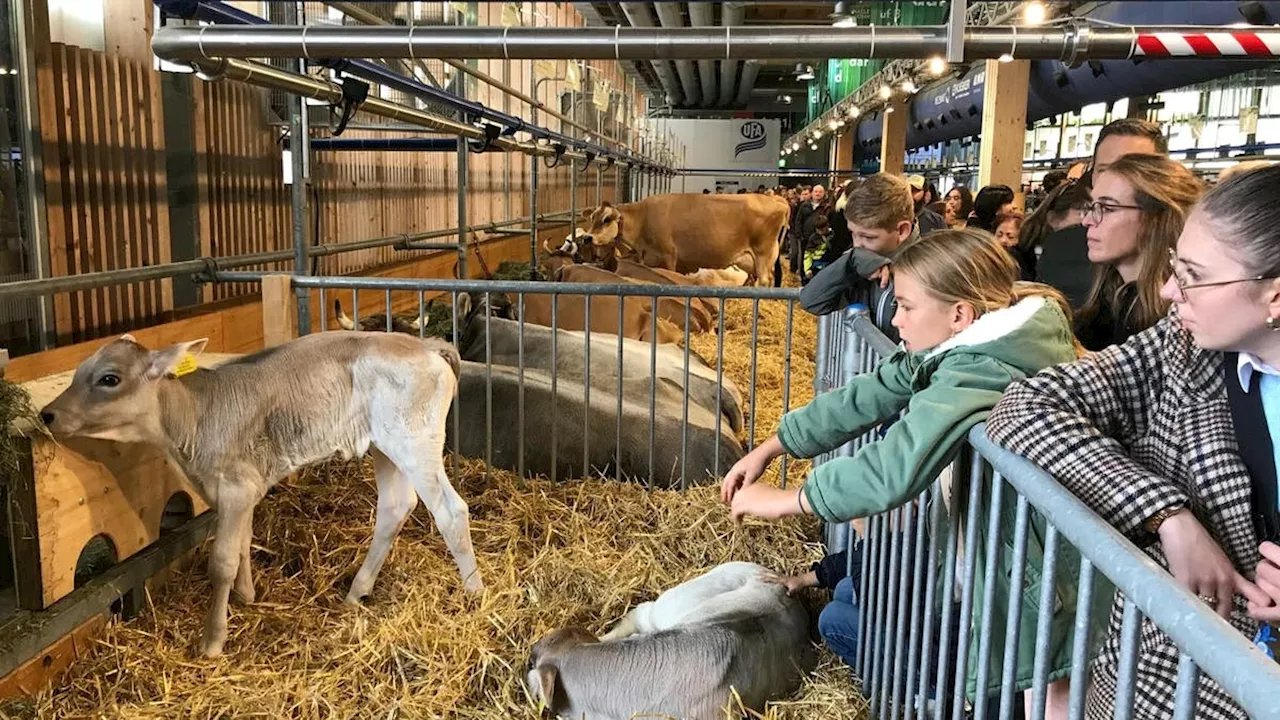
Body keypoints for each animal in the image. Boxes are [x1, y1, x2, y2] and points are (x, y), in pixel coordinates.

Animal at [40, 330, 481, 655]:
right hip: (384, 446)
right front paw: (246, 596)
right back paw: (356, 592)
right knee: (395, 507)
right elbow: (243, 542)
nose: (47, 414)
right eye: (78, 371)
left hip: (415, 442)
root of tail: (425, 345)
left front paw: (212, 640)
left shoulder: (235, 486)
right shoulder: (243, 487)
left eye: (109, 378)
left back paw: (475, 595)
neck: (194, 417)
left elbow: (220, 560)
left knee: (451, 511)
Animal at [578, 196, 788, 288]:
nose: (588, 237)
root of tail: (776, 199)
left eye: (606, 219)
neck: (643, 219)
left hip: (763, 253)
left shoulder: (669, 255)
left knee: (764, 281)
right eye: (592, 217)